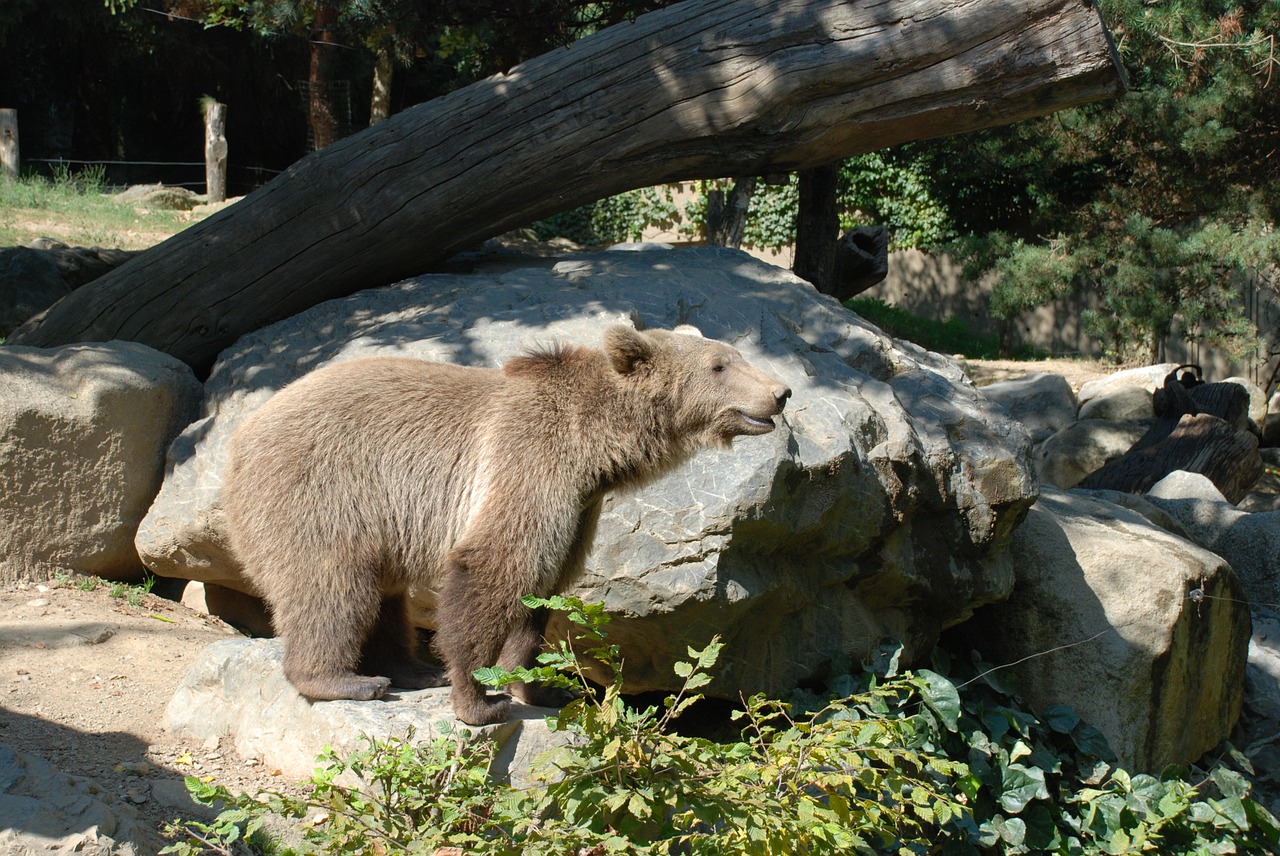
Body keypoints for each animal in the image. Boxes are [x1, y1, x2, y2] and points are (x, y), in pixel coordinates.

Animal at [220, 323, 788, 726]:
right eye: (720, 365)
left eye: (735, 356)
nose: (780, 392)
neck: (597, 448)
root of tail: (240, 439)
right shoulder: (530, 460)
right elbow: (495, 568)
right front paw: (479, 701)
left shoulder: (579, 507)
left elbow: (542, 593)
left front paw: (537, 686)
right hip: (321, 491)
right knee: (333, 585)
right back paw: (345, 680)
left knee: (384, 595)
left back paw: (413, 670)